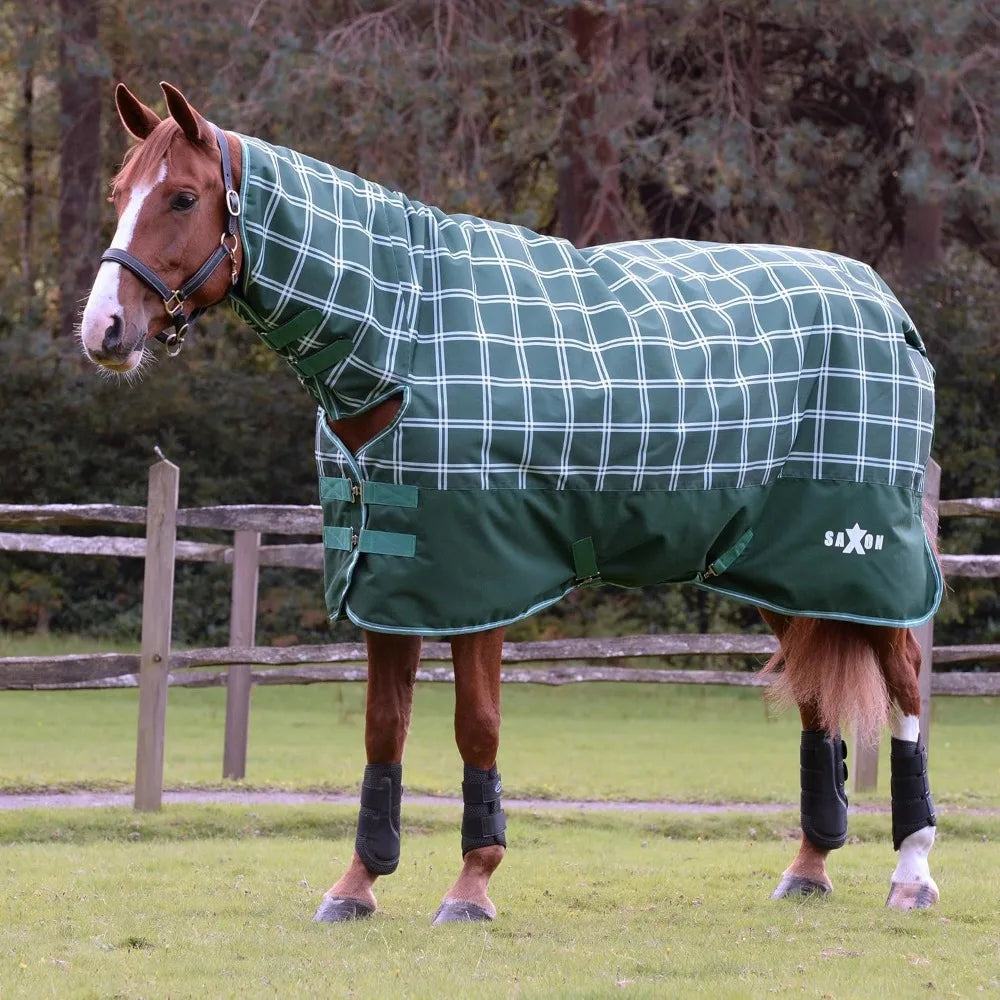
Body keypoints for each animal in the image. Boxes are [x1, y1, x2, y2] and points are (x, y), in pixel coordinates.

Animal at [80, 82, 943, 923]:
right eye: (119, 193)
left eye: (183, 197)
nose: (103, 330)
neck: (406, 336)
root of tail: (885, 304)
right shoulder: (390, 584)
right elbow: (383, 729)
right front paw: (358, 883)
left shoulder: (478, 583)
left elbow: (477, 728)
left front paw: (471, 883)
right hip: (782, 567)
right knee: (814, 697)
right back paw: (809, 867)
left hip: (860, 559)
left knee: (905, 680)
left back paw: (912, 871)